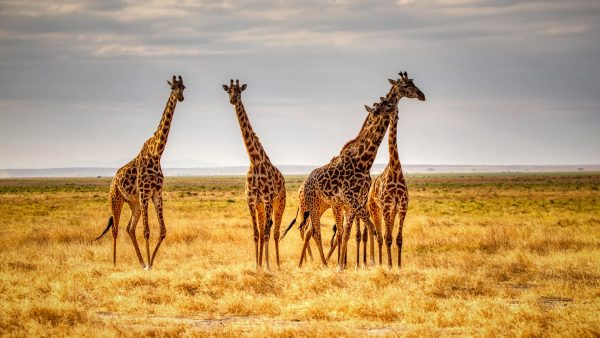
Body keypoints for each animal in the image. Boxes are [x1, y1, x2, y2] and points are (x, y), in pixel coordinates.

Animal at [96, 74, 186, 270]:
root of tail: (113, 180)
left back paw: (141, 261)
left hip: (134, 203)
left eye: (183, 87)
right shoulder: (145, 192)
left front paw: (150, 262)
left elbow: (162, 231)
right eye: (173, 87)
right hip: (116, 199)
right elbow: (146, 231)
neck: (157, 153)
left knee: (129, 228)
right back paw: (114, 263)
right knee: (115, 229)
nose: (181, 97)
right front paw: (150, 265)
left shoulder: (156, 193)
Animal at [223, 78, 286, 270]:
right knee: (265, 227)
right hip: (260, 206)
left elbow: (265, 233)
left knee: (275, 231)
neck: (255, 160)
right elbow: (256, 233)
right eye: (229, 90)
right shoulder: (251, 200)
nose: (232, 100)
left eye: (239, 91)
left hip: (279, 202)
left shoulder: (267, 199)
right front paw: (256, 266)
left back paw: (277, 265)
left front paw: (267, 266)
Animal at [366, 72, 426, 270]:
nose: (422, 95)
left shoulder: (402, 206)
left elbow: (399, 238)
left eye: (389, 104)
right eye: (406, 85)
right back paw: (380, 263)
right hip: (375, 209)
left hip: (389, 211)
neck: (395, 169)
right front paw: (390, 266)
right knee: (379, 236)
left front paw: (398, 266)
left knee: (384, 235)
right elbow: (387, 238)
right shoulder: (386, 206)